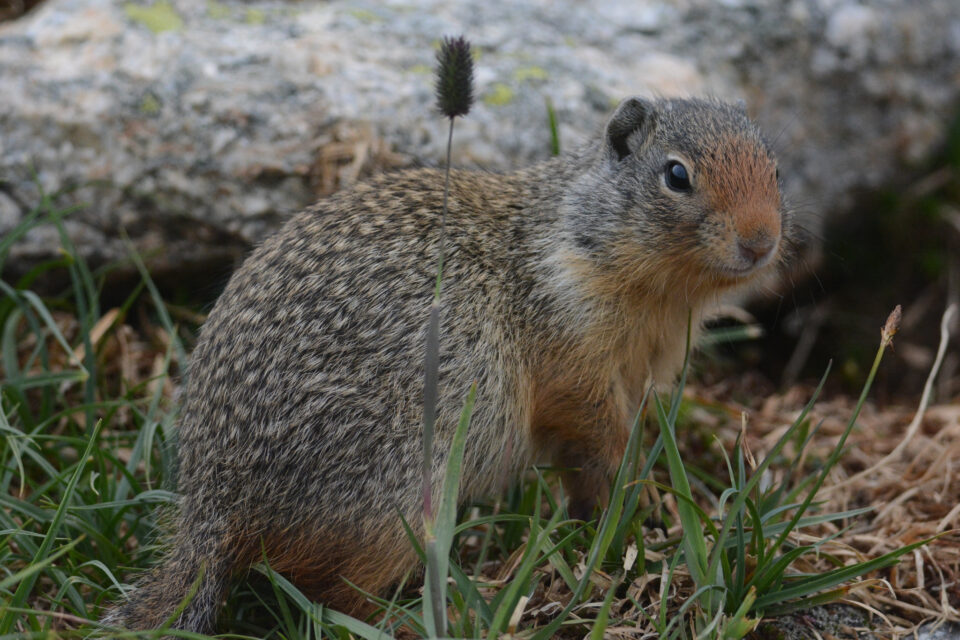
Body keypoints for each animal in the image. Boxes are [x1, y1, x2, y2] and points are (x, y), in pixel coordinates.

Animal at [104, 97, 790, 634]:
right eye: (676, 175)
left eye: (777, 169)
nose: (762, 241)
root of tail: (213, 510)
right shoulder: (576, 360)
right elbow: (599, 440)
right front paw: (640, 505)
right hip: (401, 501)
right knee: (327, 599)